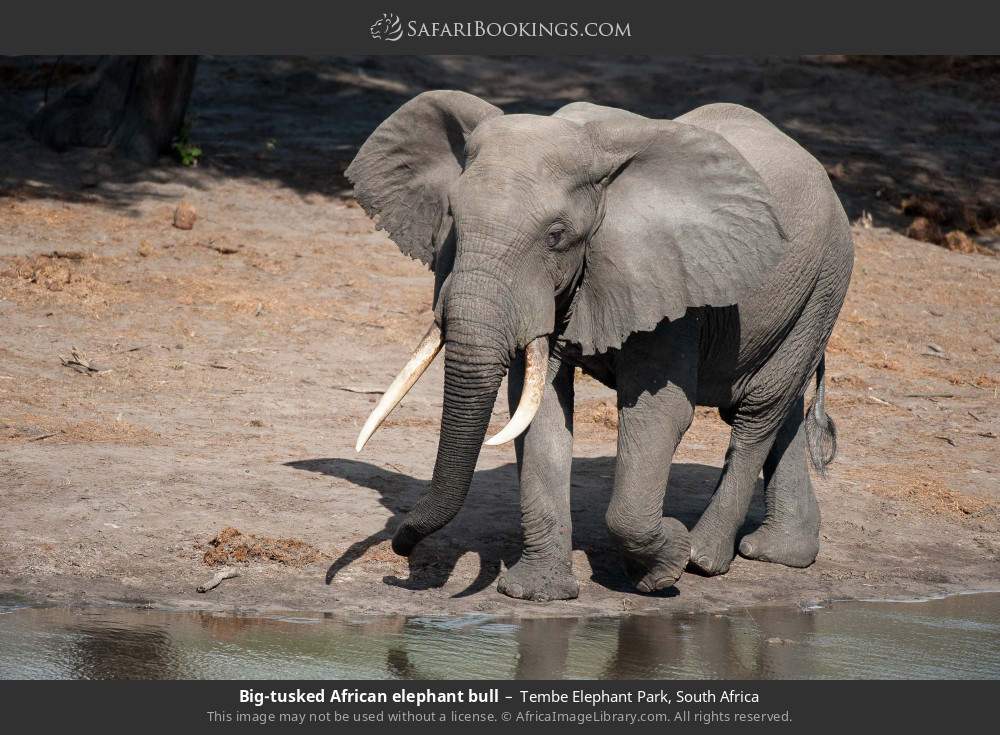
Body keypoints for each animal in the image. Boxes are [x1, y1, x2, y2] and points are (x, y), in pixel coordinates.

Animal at [346, 91, 853, 601]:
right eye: (452, 221)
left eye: (556, 237)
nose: (400, 551)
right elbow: (538, 407)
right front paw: (537, 593)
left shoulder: (665, 279)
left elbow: (658, 412)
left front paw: (664, 564)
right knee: (780, 412)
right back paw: (779, 553)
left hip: (823, 285)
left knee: (757, 413)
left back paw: (704, 557)